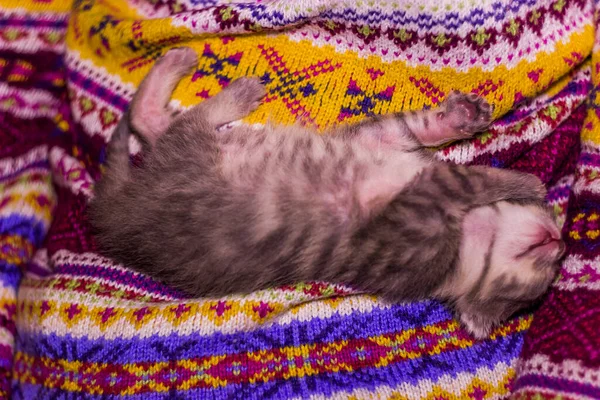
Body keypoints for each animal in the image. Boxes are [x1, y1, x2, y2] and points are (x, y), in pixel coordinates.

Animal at [86, 47, 564, 338]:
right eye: (537, 287)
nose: (561, 243)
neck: (464, 237)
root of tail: (117, 214)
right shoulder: (397, 173)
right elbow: (436, 146)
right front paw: (516, 171)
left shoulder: (407, 199)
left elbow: (447, 164)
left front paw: (521, 181)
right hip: (196, 155)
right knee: (162, 121)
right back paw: (215, 81)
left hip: (191, 156)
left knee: (161, 124)